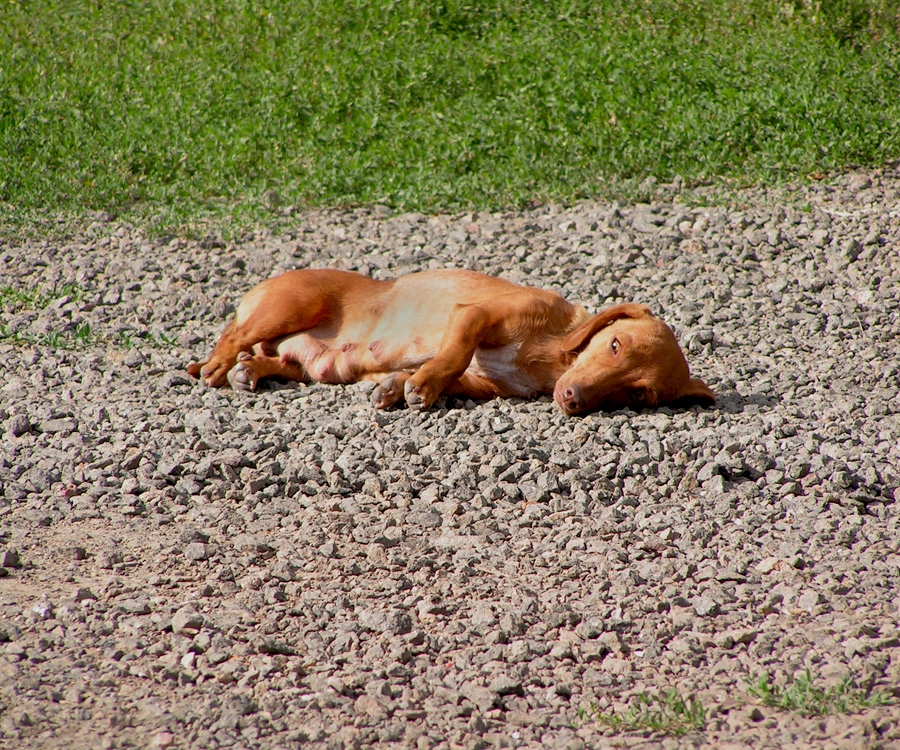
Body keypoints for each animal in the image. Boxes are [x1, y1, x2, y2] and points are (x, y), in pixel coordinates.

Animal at [186, 268, 712, 418]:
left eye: (637, 395)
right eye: (615, 345)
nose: (571, 398)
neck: (551, 355)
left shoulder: (486, 386)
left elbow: (453, 376)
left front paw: (400, 386)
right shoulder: (475, 317)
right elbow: (454, 356)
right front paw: (419, 386)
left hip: (315, 366)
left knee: (274, 361)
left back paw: (251, 371)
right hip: (292, 305)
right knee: (235, 336)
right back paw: (217, 366)